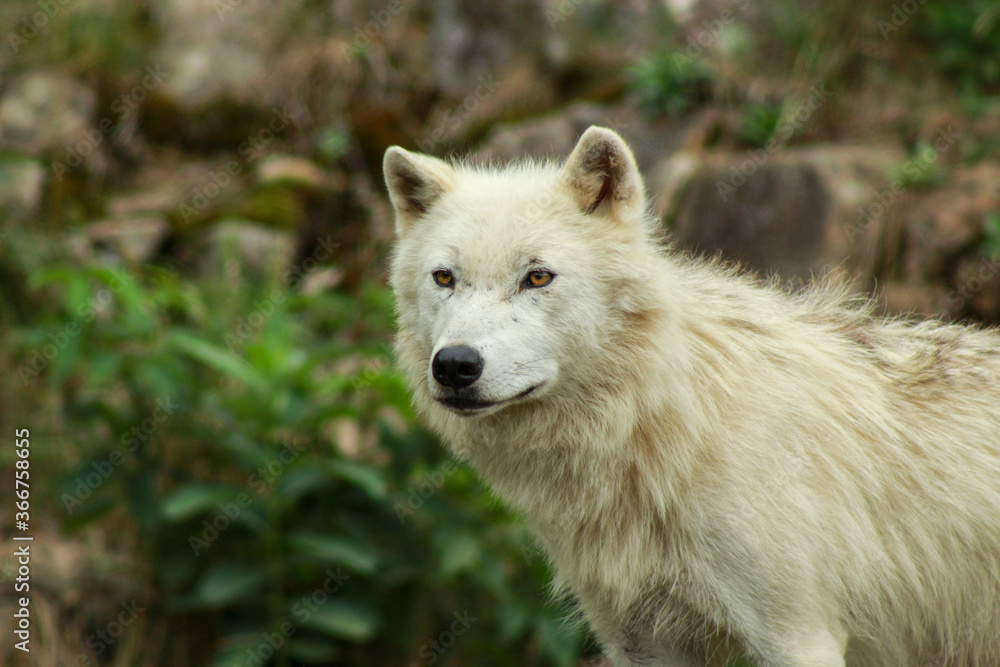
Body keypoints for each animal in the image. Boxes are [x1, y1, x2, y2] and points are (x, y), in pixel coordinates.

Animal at [383, 126, 1000, 667]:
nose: (456, 365)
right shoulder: (643, 642)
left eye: (537, 277)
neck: (667, 429)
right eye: (444, 278)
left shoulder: (799, 637)